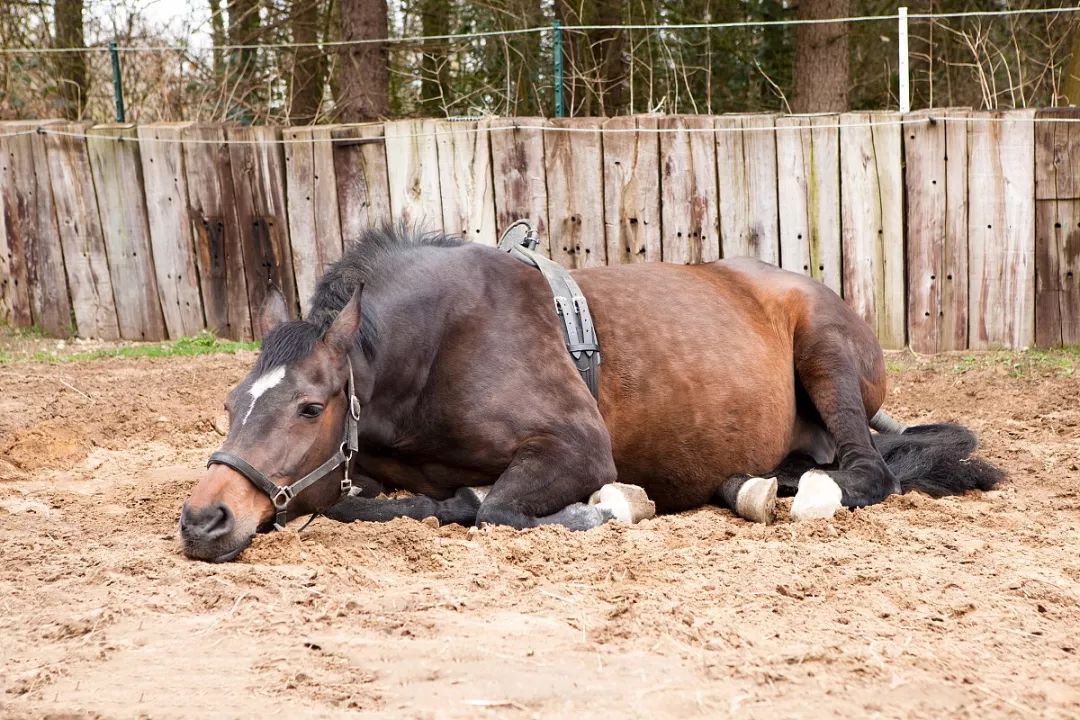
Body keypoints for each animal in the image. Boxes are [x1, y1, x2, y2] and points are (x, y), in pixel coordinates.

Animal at [179, 225, 1002, 561]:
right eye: (230, 404)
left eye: (309, 407)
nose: (203, 519)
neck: (435, 347)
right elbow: (357, 503)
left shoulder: (577, 447)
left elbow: (498, 509)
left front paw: (609, 508)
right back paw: (746, 484)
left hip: (827, 355)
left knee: (865, 473)